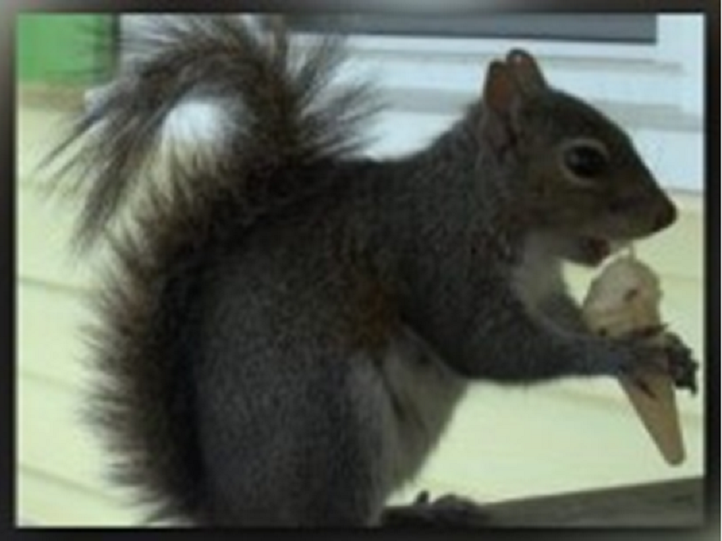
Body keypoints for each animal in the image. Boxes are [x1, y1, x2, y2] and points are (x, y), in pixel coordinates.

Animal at [46, 14, 696, 524]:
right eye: (583, 161)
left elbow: (564, 318)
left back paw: (426, 510)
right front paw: (619, 354)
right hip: (335, 428)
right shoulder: (438, 259)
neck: (488, 205)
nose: (666, 214)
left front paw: (670, 350)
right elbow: (493, 348)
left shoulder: (540, 290)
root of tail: (229, 511)